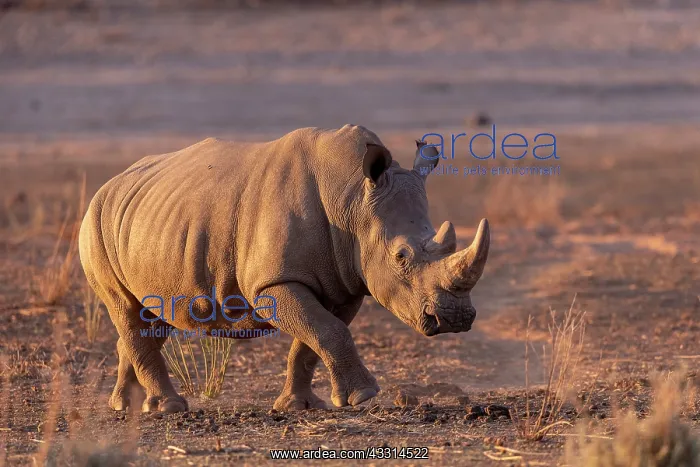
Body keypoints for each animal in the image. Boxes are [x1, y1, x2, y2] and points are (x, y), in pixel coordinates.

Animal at [79, 124, 490, 413]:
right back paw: (168, 408)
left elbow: (313, 339)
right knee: (128, 309)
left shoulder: (344, 283)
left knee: (155, 315)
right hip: (96, 223)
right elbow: (327, 330)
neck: (353, 198)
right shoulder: (272, 284)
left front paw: (301, 406)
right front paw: (364, 396)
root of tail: (108, 185)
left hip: (152, 223)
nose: (455, 318)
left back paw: (129, 405)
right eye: (401, 257)